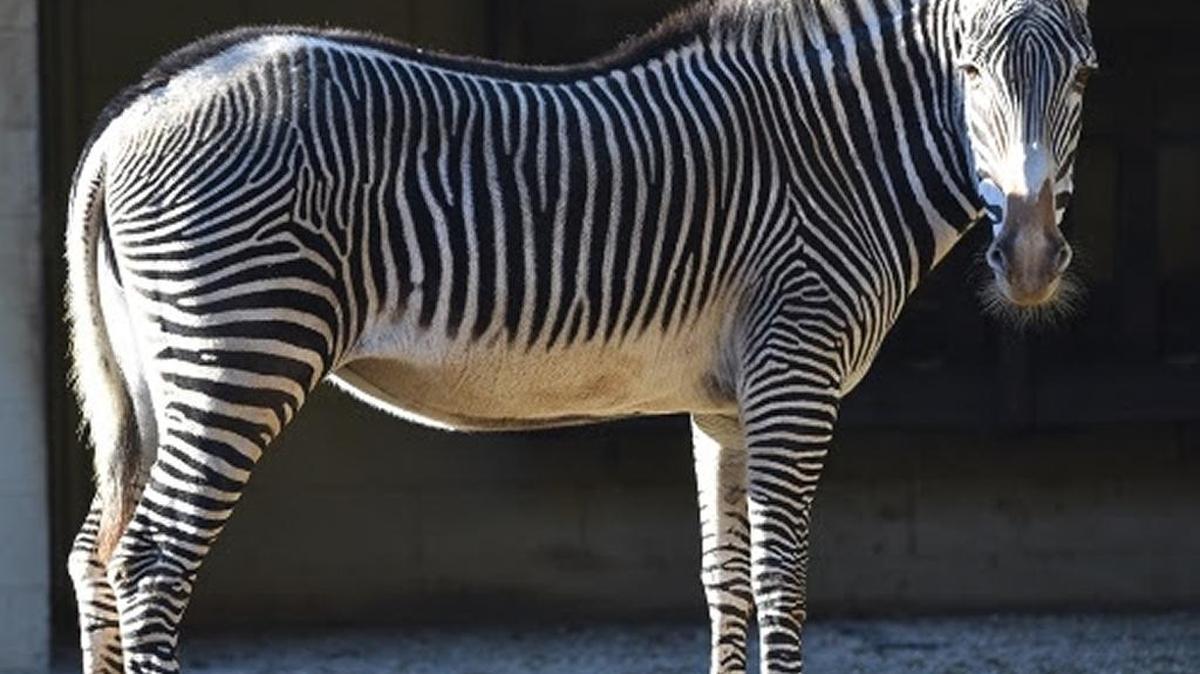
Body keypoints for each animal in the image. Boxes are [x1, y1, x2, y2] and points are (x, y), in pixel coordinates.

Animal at [63, 0, 1097, 671]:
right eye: (968, 71)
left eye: (1086, 77)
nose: (1030, 258)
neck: (838, 150)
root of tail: (139, 106)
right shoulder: (793, 374)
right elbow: (781, 577)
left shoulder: (727, 403)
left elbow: (726, 579)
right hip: (244, 348)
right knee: (152, 562)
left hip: (159, 374)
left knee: (94, 556)